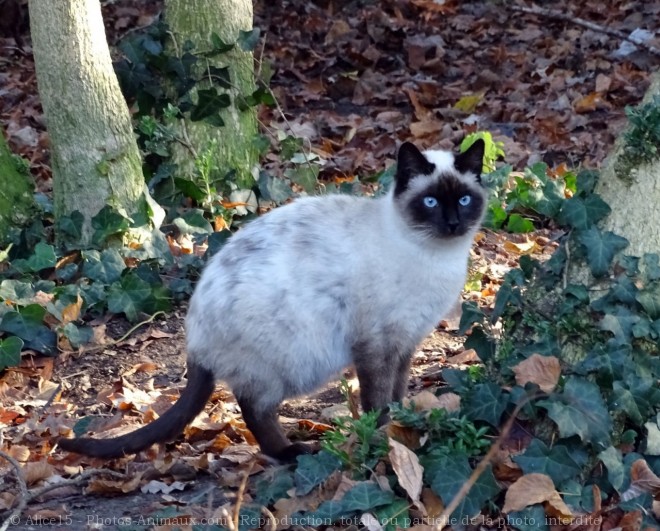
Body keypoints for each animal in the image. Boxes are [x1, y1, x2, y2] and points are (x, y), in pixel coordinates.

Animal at [59, 139, 488, 464]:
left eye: (465, 200)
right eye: (431, 203)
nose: (453, 224)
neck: (436, 258)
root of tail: (194, 335)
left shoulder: (404, 341)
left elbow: (397, 394)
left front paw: (402, 426)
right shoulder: (376, 346)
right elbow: (378, 401)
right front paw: (385, 439)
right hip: (294, 361)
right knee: (254, 409)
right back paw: (290, 453)